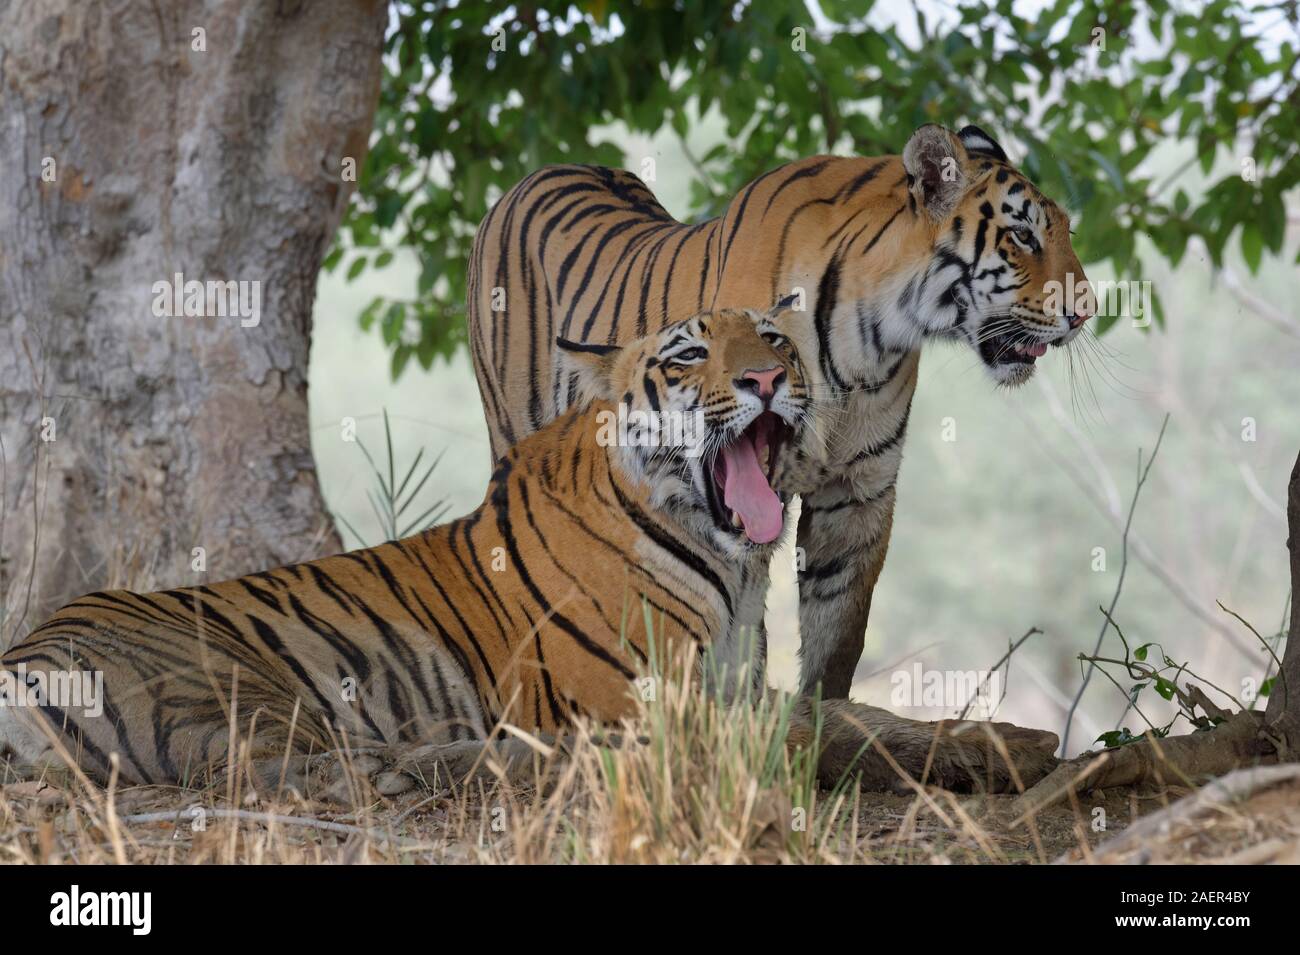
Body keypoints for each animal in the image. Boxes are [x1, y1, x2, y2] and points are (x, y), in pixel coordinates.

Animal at [0, 310, 1055, 795]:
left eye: (773, 340)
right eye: (689, 357)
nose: (767, 379)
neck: (727, 557)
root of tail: (23, 653)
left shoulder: (726, 680)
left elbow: (849, 713)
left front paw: (1013, 742)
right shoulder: (648, 697)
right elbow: (818, 728)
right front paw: (1005, 750)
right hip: (227, 684)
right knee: (319, 767)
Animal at [467, 123, 1086, 696]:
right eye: (1022, 235)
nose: (1085, 312)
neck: (872, 340)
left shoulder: (859, 489)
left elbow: (838, 632)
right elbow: (741, 619)